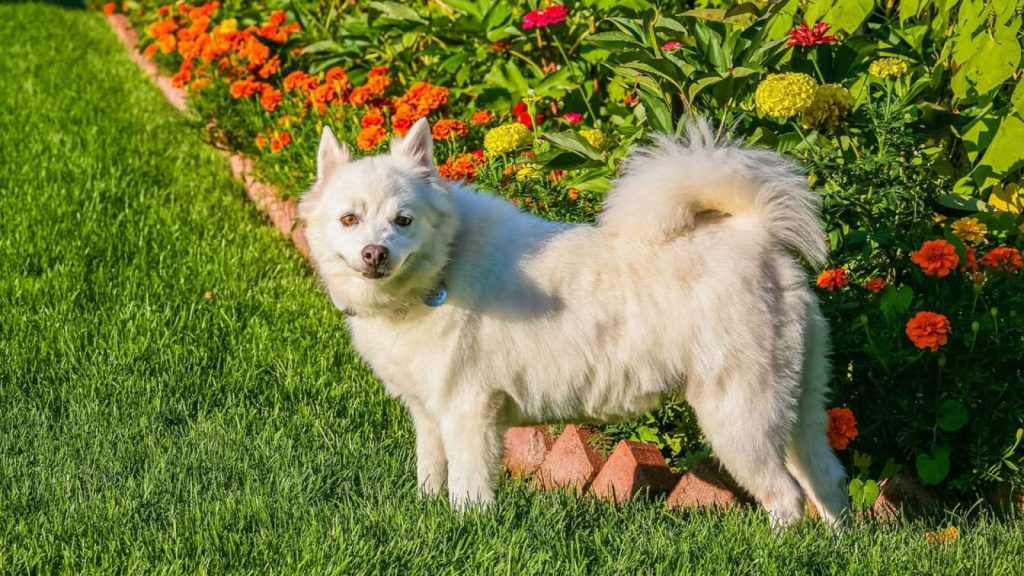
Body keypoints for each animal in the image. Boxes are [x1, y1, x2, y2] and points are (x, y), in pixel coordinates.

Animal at [296, 117, 847, 524]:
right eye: (349, 219)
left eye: (403, 220)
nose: (375, 253)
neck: (445, 264)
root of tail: (756, 234)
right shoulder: (429, 414)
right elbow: (430, 477)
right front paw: (429, 515)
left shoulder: (468, 411)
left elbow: (467, 489)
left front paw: (466, 527)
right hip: (798, 409)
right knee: (828, 484)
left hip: (739, 416)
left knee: (787, 499)